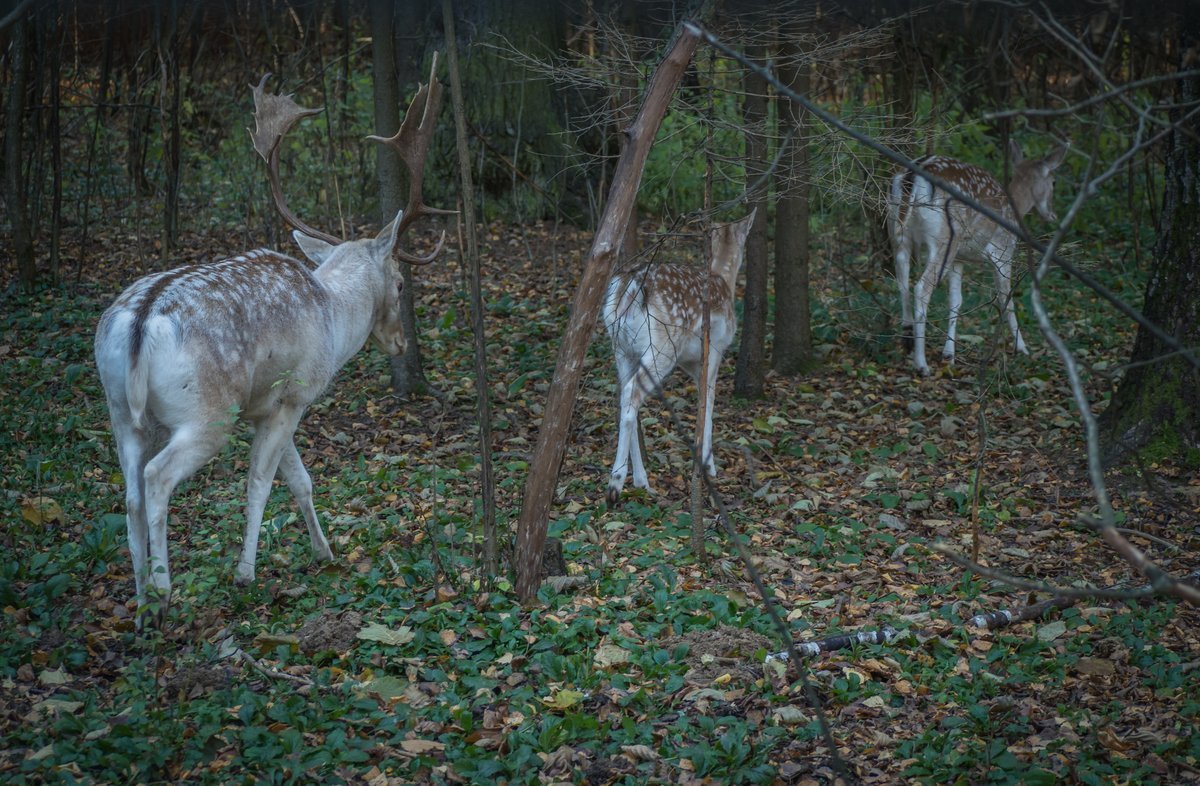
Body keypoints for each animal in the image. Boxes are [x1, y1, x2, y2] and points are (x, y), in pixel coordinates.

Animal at [94, 58, 451, 624]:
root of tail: (139, 323)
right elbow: (261, 482)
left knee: (127, 491)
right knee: (155, 478)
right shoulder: (293, 394)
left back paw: (141, 599)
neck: (332, 318)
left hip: (119, 411)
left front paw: (325, 552)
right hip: (207, 412)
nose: (399, 344)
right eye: (399, 283)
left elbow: (299, 478)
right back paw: (165, 590)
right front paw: (246, 573)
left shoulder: (266, 406)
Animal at [604, 208, 753, 504]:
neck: (723, 280)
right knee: (632, 392)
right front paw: (709, 467)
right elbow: (708, 402)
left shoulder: (692, 363)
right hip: (663, 346)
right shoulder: (715, 350)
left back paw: (641, 480)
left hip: (621, 347)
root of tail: (630, 286)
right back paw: (616, 483)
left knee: (624, 395)